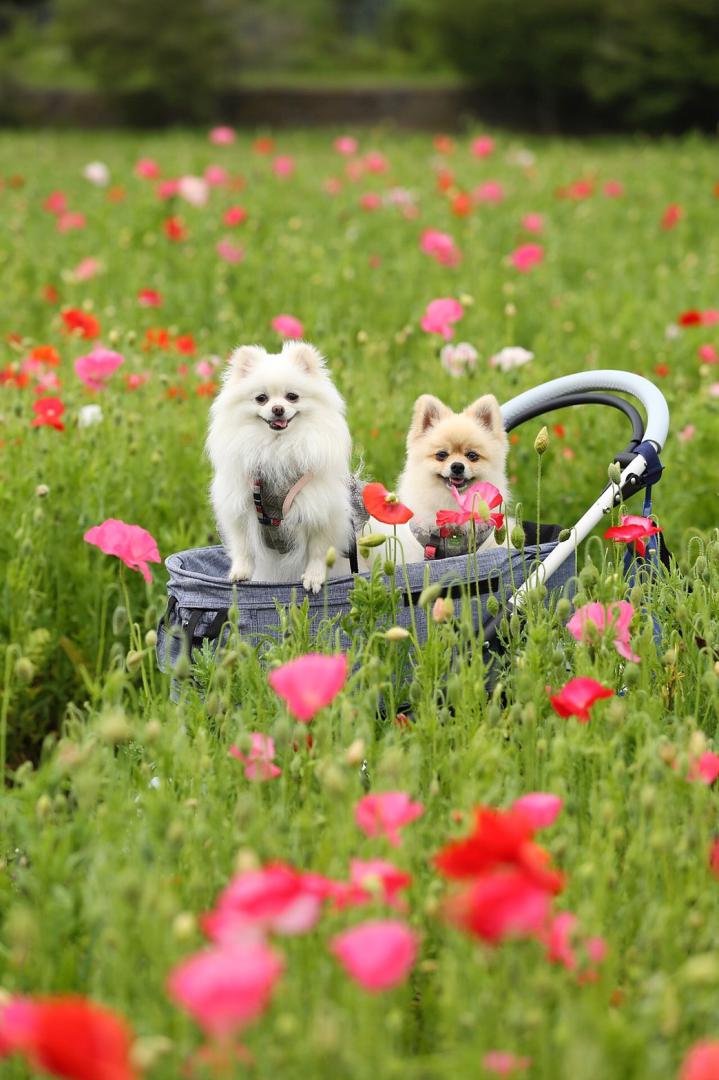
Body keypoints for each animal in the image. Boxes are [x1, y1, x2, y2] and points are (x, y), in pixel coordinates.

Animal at [204, 341, 351, 591]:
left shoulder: (321, 510)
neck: (277, 446)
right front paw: (241, 572)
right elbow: (243, 546)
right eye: (261, 398)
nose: (278, 409)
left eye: (292, 397)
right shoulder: (240, 507)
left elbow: (318, 551)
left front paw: (314, 577)